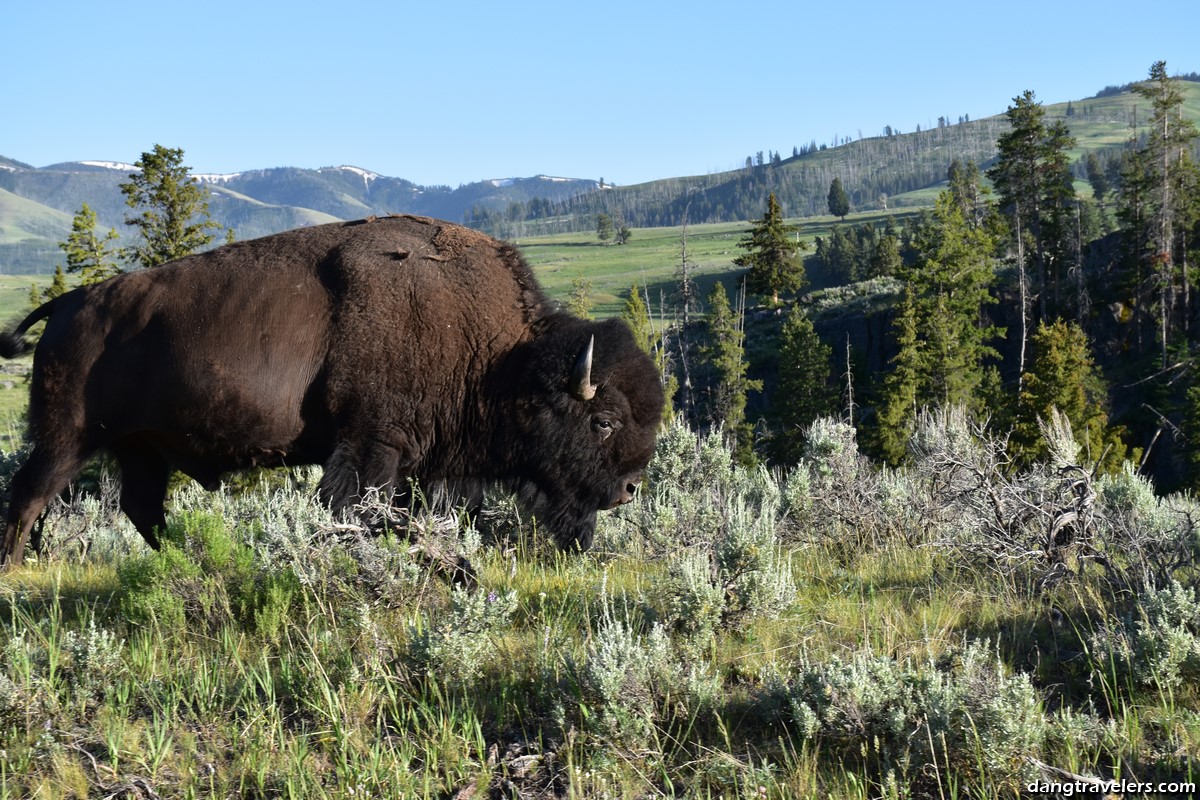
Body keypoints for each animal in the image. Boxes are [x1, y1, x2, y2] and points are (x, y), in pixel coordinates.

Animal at [0, 215, 662, 566]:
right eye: (602, 420)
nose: (629, 489)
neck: (504, 358)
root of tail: (67, 303)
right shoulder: (372, 445)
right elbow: (352, 509)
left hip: (139, 448)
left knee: (141, 507)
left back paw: (186, 557)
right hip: (67, 439)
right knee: (30, 495)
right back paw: (13, 567)